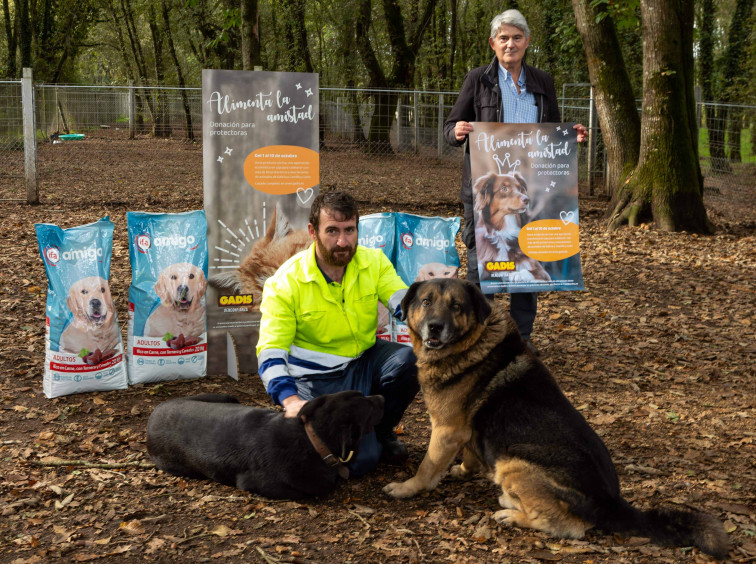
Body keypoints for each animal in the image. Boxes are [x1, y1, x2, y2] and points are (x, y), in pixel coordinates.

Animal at [386, 280, 728, 556]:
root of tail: (611, 501)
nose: (435, 327)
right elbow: (468, 453)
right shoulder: (464, 431)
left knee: (566, 526)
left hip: (513, 463)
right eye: (426, 301)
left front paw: (407, 488)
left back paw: (511, 514)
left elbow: (426, 467)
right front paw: (463, 470)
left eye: (456, 306)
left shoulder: (446, 430)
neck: (472, 341)